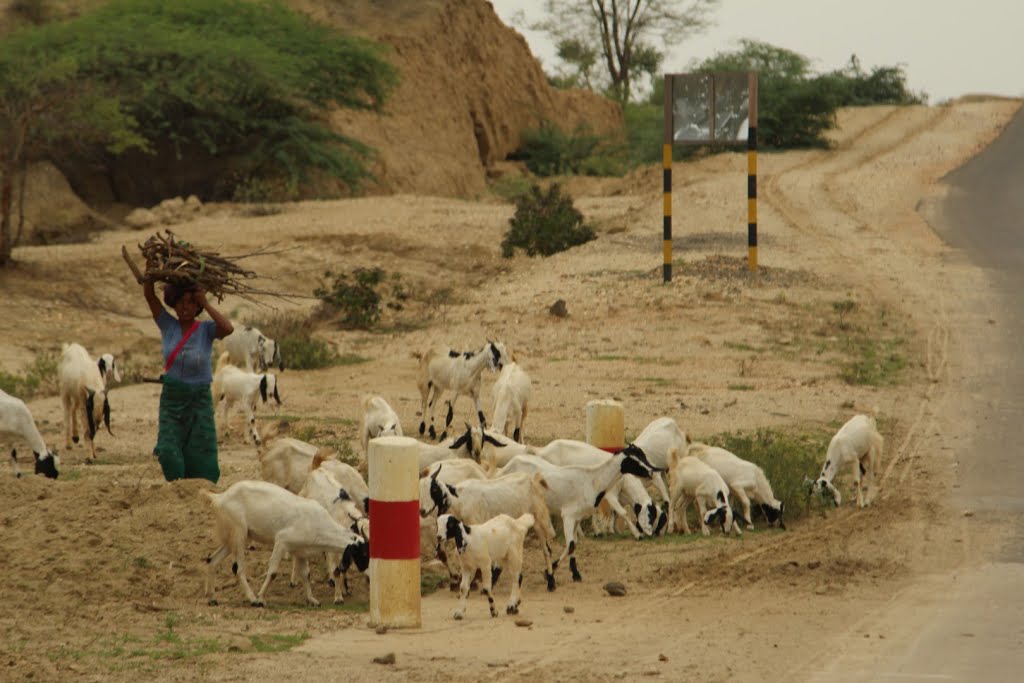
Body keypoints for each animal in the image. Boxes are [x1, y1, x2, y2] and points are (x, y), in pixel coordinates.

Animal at [200, 479, 368, 606]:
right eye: (364, 552)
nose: (367, 573)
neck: (317, 522)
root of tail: (220, 497)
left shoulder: (300, 551)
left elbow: (306, 574)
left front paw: (312, 600)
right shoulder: (281, 541)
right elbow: (273, 572)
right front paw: (260, 599)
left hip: (234, 538)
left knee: (212, 560)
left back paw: (212, 598)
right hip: (239, 534)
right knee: (239, 569)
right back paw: (252, 598)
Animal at [499, 448, 659, 589]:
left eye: (642, 454)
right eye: (633, 460)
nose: (651, 471)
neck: (592, 480)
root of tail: (508, 466)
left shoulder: (576, 518)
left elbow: (574, 543)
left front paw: (575, 574)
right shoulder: (568, 516)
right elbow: (570, 545)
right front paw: (550, 572)